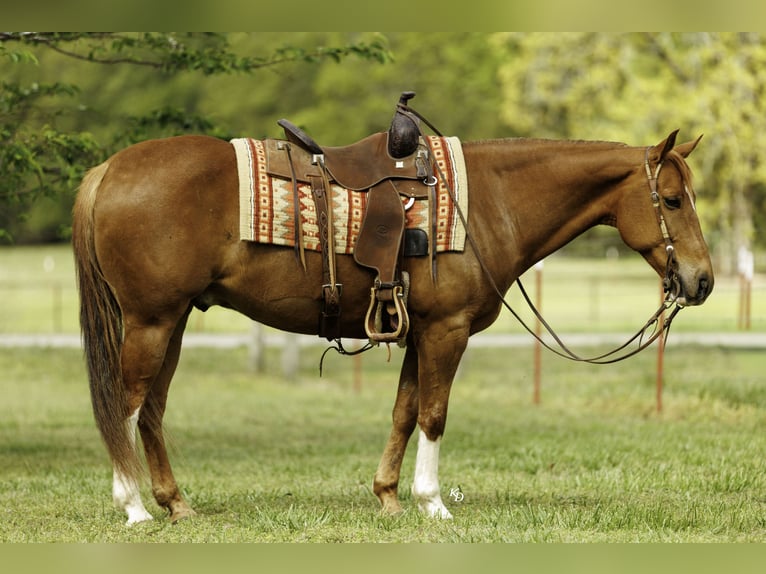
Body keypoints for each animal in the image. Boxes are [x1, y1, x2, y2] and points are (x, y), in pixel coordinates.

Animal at [72, 128, 713, 525]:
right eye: (673, 200)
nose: (702, 280)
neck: (486, 204)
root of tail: (108, 169)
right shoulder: (447, 331)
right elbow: (433, 415)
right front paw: (433, 503)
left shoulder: (418, 332)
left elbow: (405, 411)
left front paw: (388, 497)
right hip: (151, 322)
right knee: (125, 406)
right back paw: (132, 506)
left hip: (173, 321)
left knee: (151, 411)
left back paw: (174, 503)